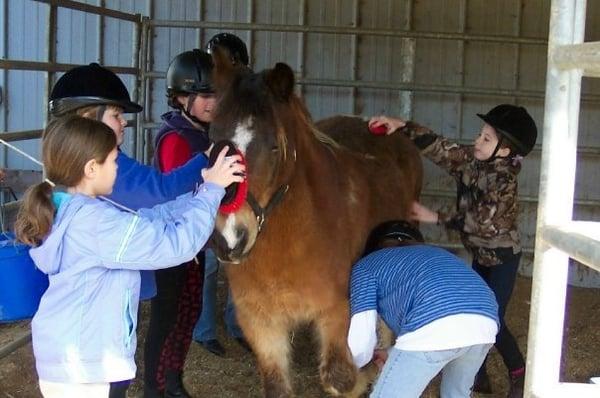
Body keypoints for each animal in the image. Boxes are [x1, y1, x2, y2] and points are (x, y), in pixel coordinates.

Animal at [210, 59, 422, 398]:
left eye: (274, 147)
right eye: (213, 137)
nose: (229, 238)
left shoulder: (338, 314)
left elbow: (341, 378)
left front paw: (368, 373)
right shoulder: (260, 322)